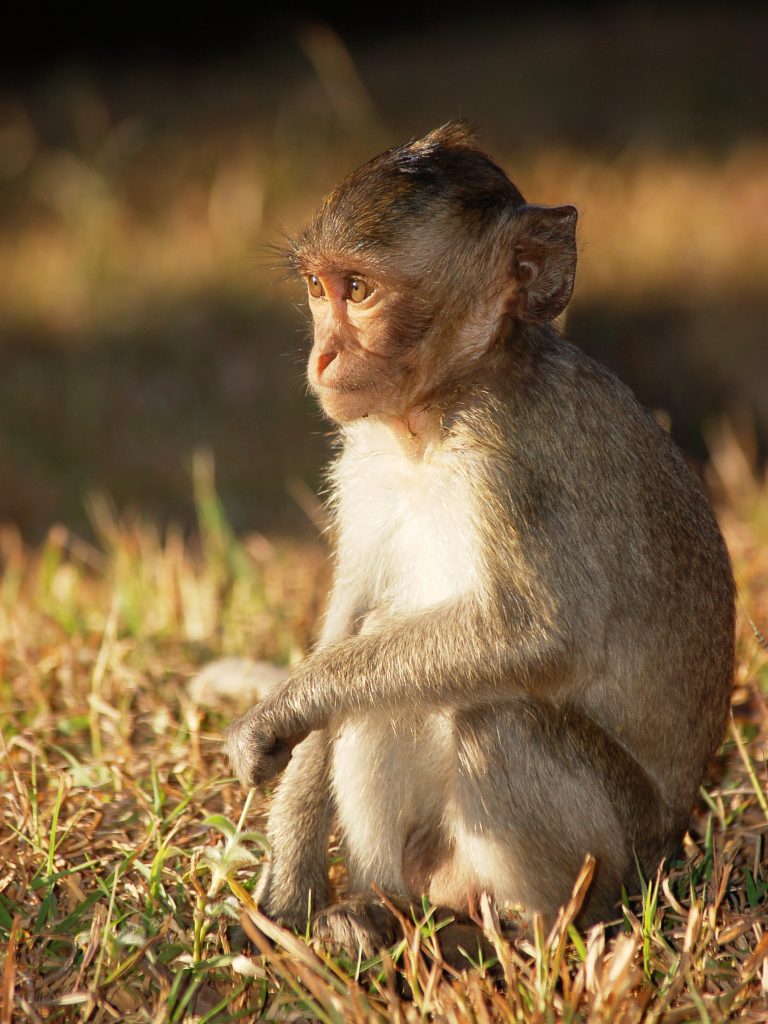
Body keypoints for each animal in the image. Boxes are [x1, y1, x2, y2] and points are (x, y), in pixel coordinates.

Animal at [224, 121, 741, 958]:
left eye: (359, 290)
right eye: (317, 289)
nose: (323, 355)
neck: (436, 415)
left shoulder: (511, 456)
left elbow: (537, 634)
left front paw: (279, 713)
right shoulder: (363, 462)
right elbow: (348, 625)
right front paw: (290, 874)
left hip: (620, 853)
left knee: (492, 715)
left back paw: (527, 939)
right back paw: (380, 912)